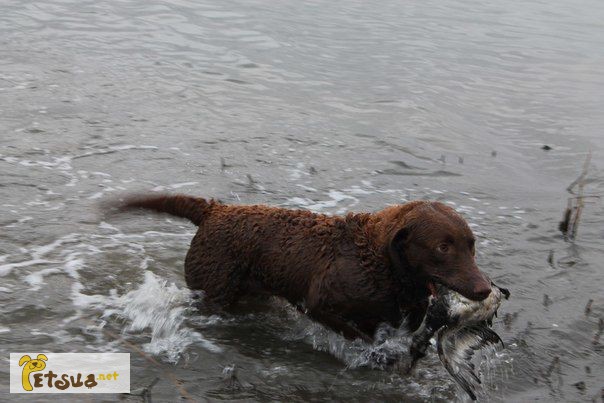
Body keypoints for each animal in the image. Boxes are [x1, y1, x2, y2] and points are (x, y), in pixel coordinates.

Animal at [112, 195, 496, 344]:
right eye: (443, 247)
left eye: (471, 245)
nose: (484, 289)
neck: (379, 262)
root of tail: (214, 210)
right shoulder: (318, 304)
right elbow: (359, 335)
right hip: (214, 288)